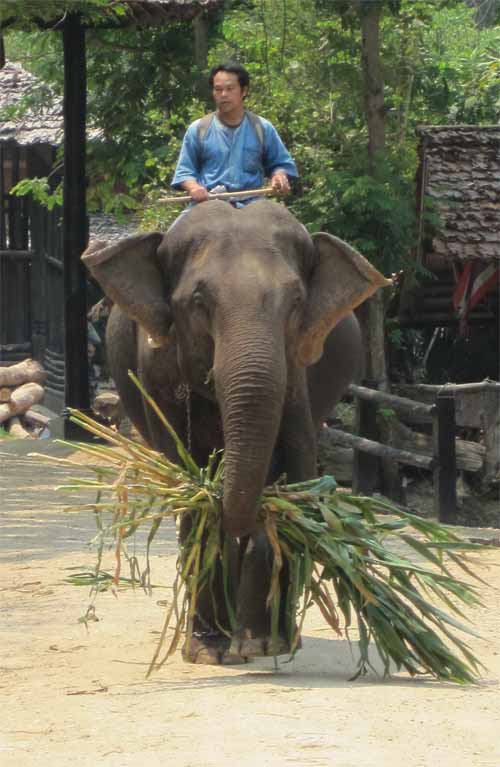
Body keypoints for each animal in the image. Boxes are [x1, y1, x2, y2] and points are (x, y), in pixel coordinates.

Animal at [82, 198, 388, 664]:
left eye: (296, 301)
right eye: (198, 300)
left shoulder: (298, 374)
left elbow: (293, 475)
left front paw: (264, 643)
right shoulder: (156, 374)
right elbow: (189, 486)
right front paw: (207, 651)